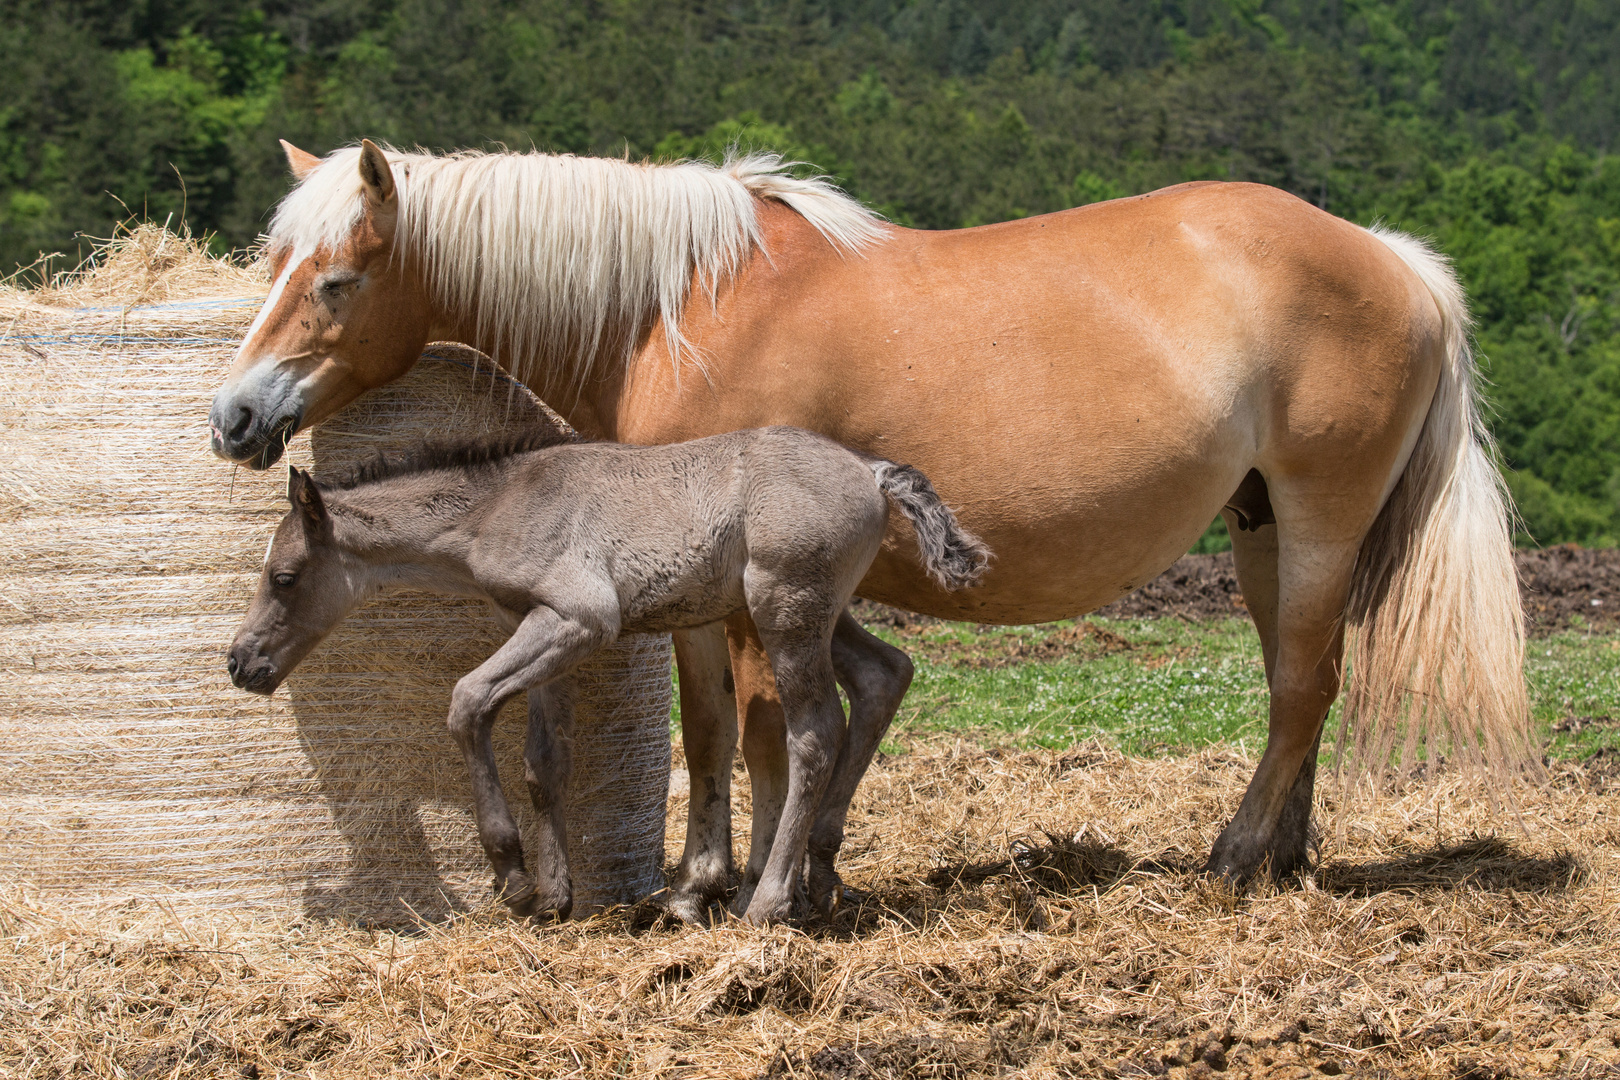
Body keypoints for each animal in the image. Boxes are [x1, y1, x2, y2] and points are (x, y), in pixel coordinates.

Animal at [205, 137, 1529, 919]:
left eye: (335, 280)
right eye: (273, 260)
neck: (678, 306)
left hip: (1318, 517)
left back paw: (1238, 855)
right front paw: (704, 882)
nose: (234, 415)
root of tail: (1393, 258)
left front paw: (743, 887)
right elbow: (704, 727)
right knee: (1302, 678)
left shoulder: (747, 586)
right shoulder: (690, 573)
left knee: (1302, 685)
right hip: (1262, 532)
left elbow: (757, 733)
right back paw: (1288, 855)